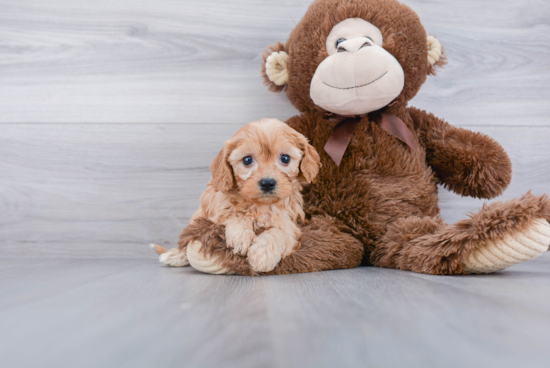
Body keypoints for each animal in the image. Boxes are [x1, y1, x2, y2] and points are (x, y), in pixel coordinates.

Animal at [153, 119, 322, 272]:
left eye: (285, 158)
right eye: (247, 160)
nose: (267, 183)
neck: (259, 205)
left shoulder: (289, 224)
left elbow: (279, 233)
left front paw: (262, 255)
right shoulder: (216, 208)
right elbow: (234, 212)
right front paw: (241, 236)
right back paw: (175, 256)